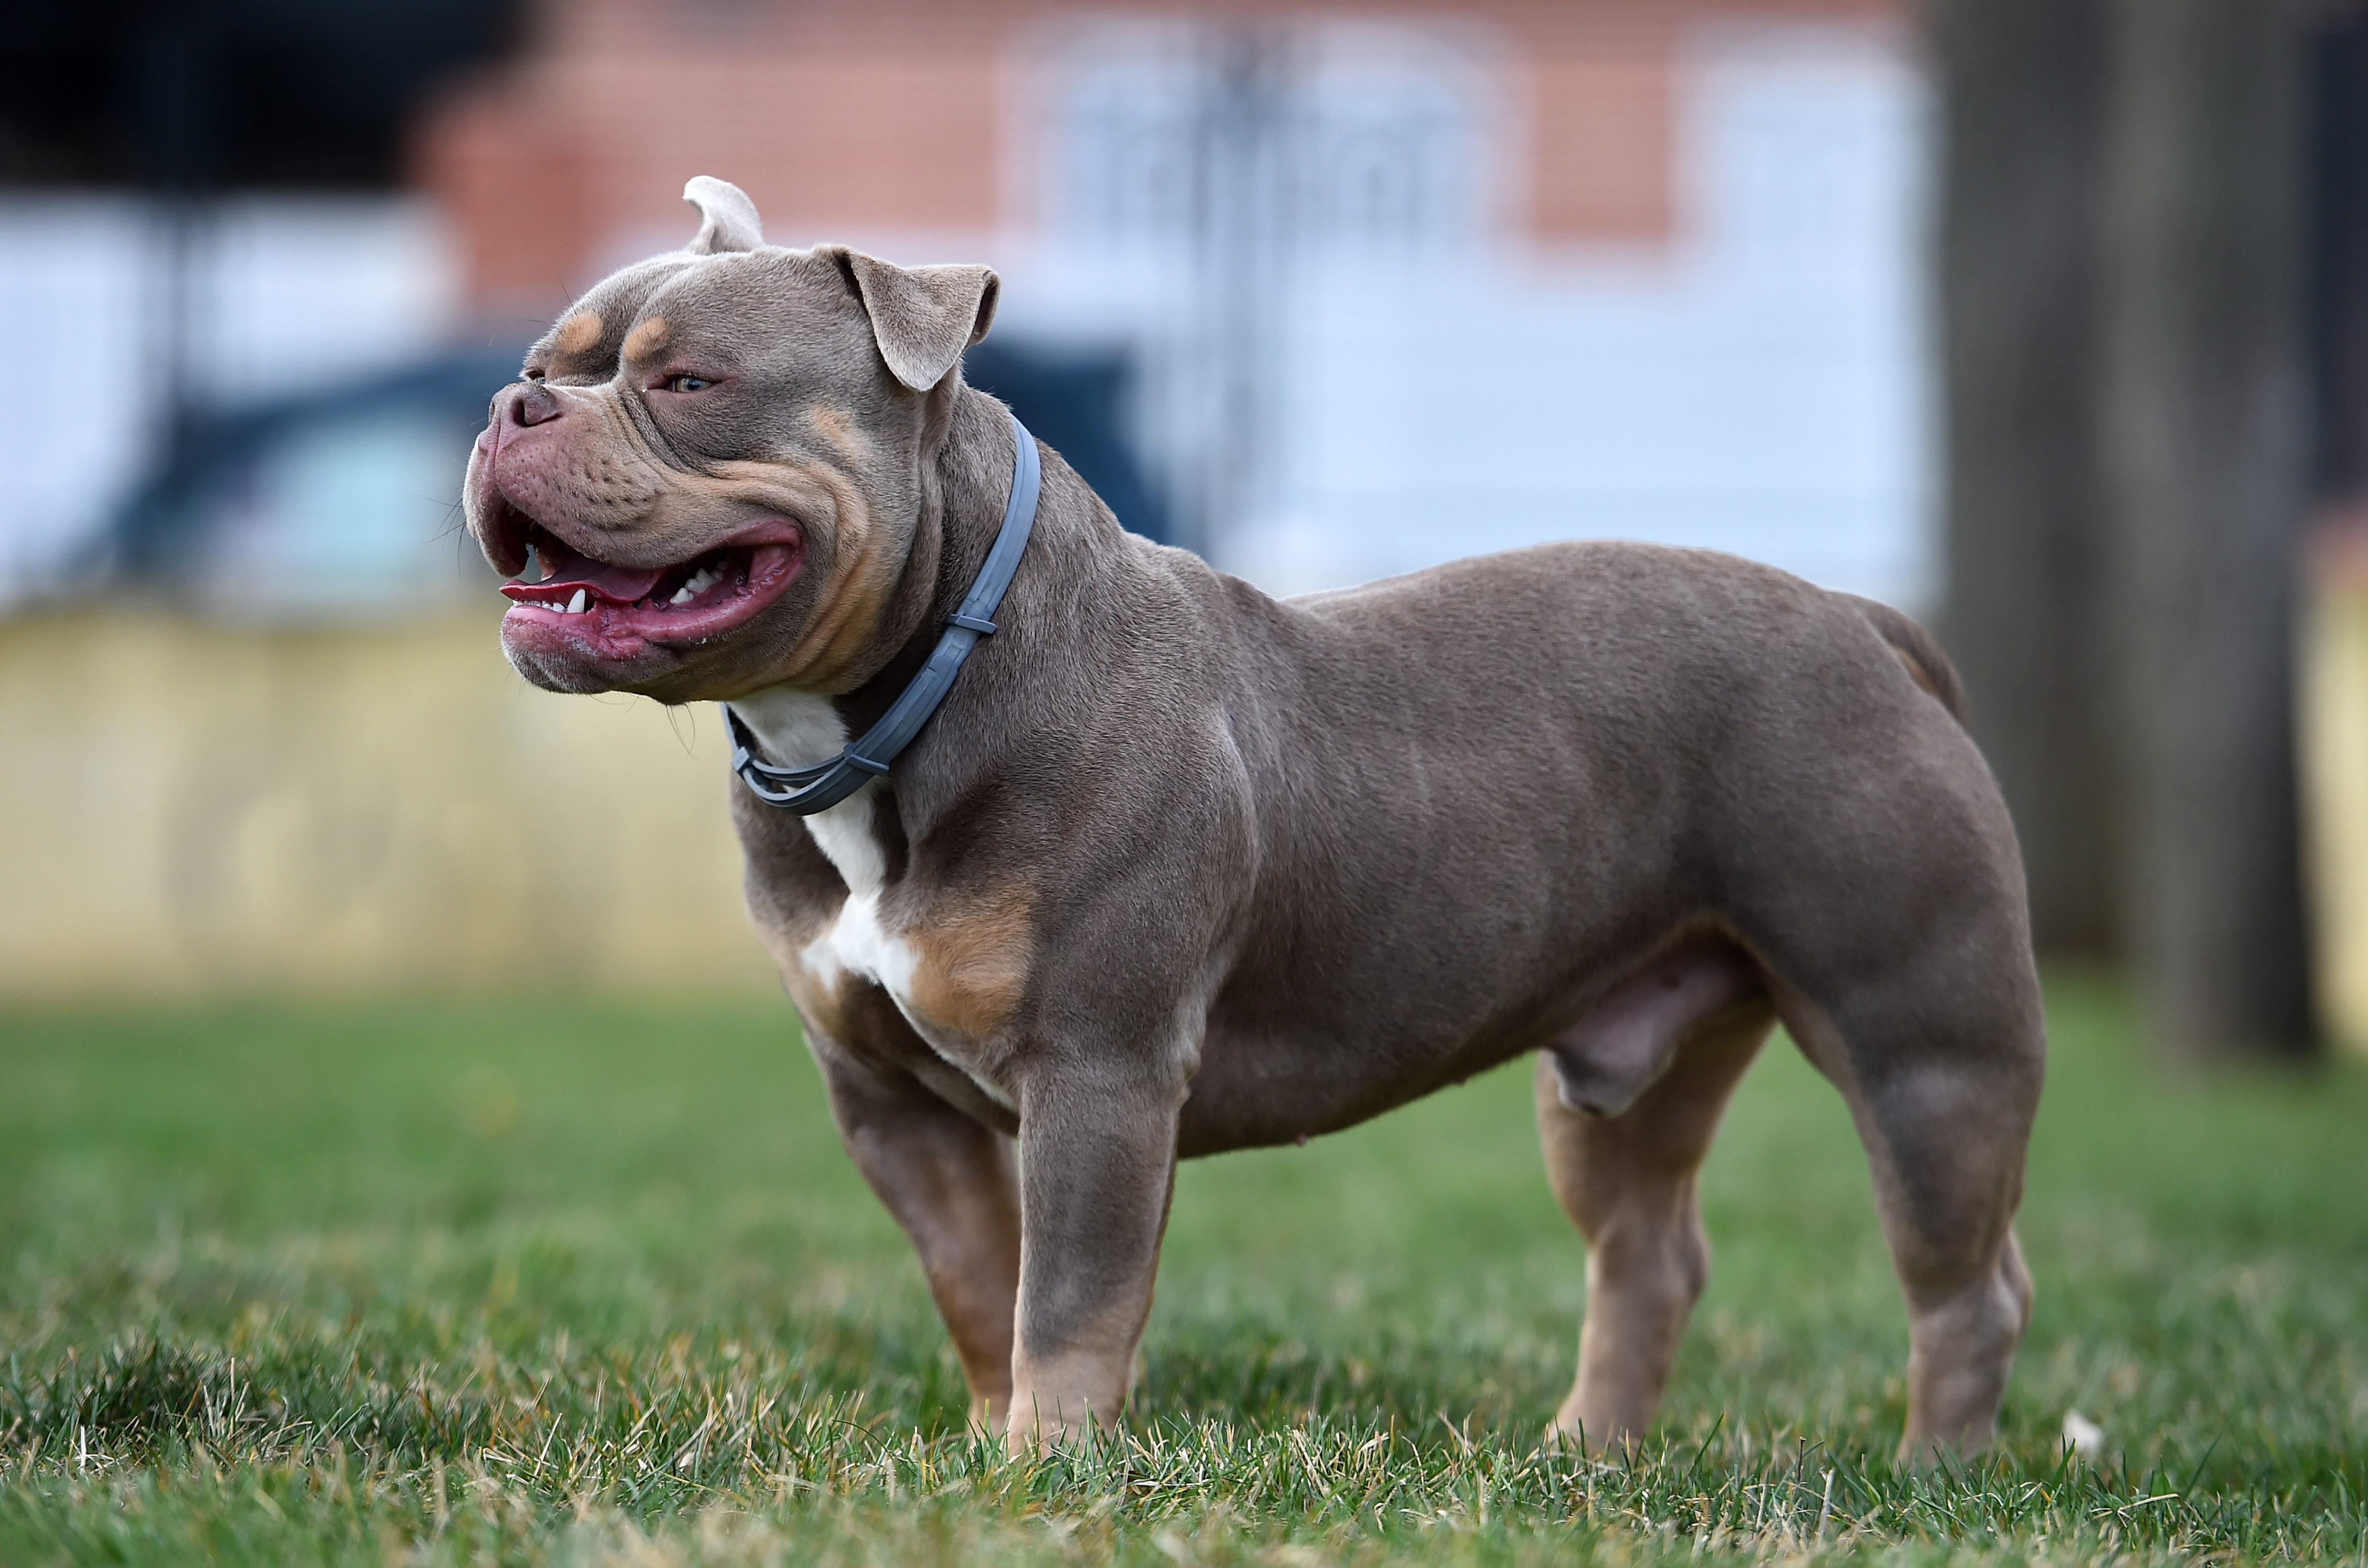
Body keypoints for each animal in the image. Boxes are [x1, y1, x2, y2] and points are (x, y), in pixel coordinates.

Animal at [466, 177, 2055, 1469]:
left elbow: (1068, 1297)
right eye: (547, 368)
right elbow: (979, 1284)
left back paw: (1933, 1474)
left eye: (689, 380)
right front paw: (988, 1449)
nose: (509, 408)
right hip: (1625, 1070)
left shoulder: (1098, 1075)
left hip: (1922, 1045)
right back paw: (1585, 1457)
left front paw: (1046, 1468)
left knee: (1965, 1279)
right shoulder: (892, 1107)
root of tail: (1861, 620)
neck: (918, 692)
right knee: (1647, 1255)